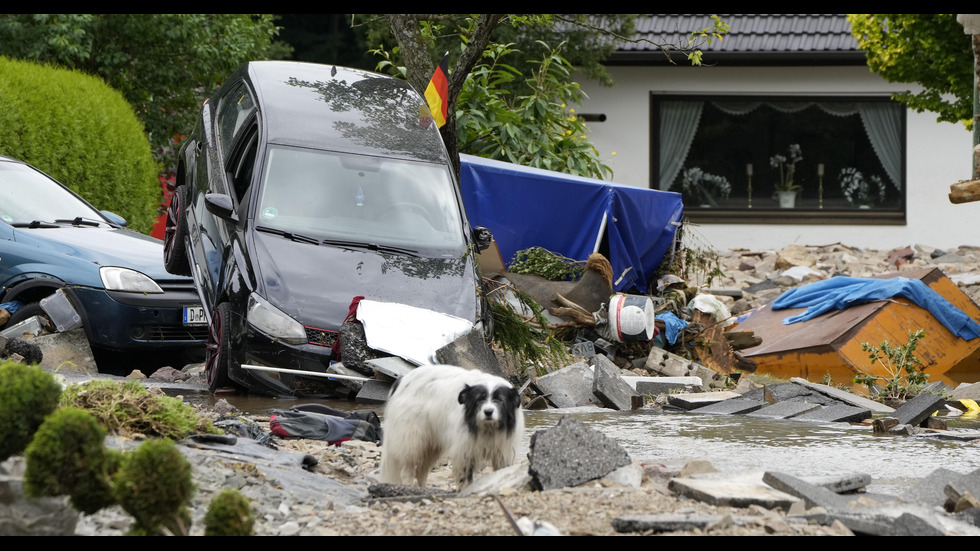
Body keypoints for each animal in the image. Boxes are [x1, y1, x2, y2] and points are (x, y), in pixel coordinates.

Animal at [378, 366, 524, 488]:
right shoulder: (464, 450)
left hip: (431, 444)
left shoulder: (503, 452)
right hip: (412, 439)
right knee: (407, 470)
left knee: (421, 471)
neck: (488, 428)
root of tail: (402, 380)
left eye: (500, 400)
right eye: (479, 399)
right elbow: (465, 478)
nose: (488, 412)